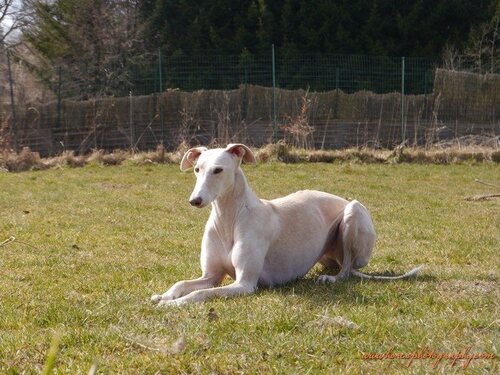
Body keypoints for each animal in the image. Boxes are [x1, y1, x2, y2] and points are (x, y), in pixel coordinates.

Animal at [152, 144, 422, 306]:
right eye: (197, 169)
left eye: (218, 170)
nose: (195, 200)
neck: (230, 217)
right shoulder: (211, 275)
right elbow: (184, 284)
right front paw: (164, 295)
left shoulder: (244, 284)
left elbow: (201, 293)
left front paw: (173, 303)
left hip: (353, 213)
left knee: (346, 269)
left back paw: (331, 279)